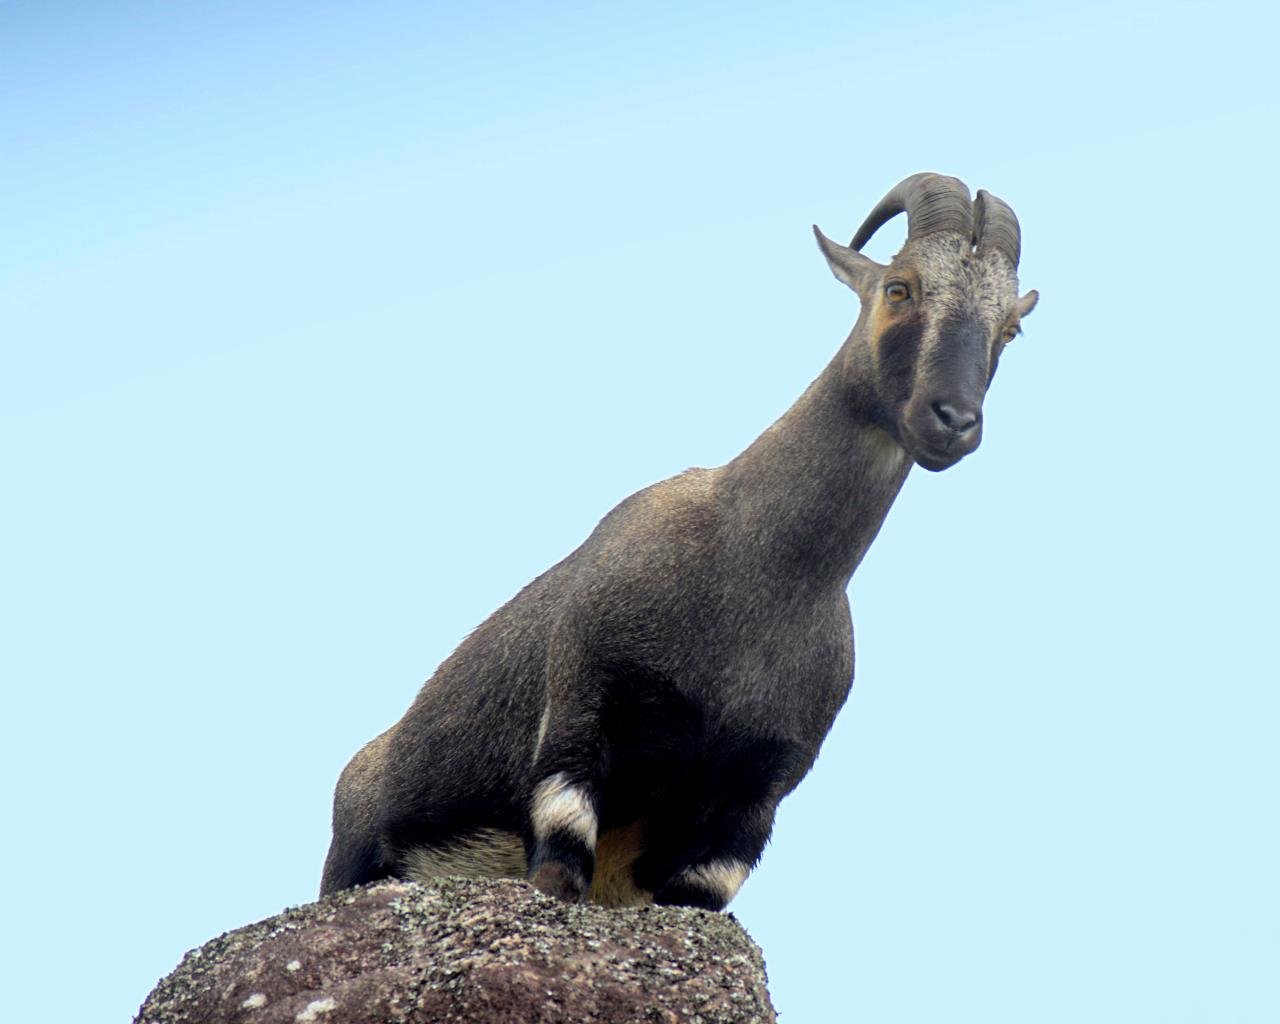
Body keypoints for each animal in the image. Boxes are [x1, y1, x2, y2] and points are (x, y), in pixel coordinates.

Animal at [321, 173, 1039, 910]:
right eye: (900, 286)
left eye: (1011, 326)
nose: (952, 421)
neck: (758, 576)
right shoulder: (581, 709)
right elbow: (559, 864)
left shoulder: (752, 799)